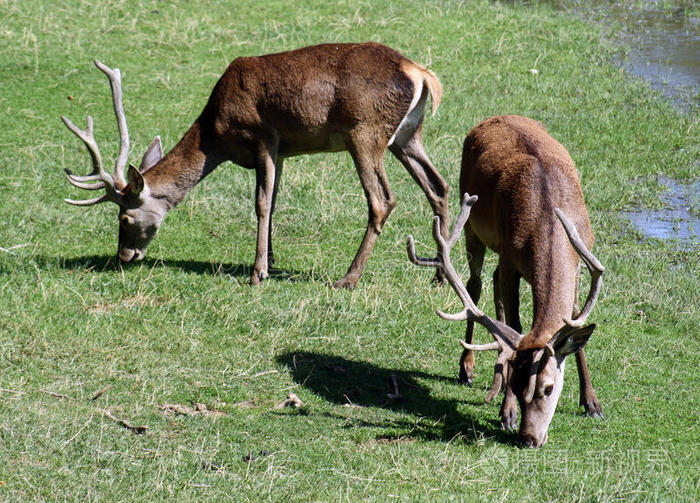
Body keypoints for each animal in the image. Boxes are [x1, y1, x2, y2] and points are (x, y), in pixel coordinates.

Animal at [57, 43, 446, 288]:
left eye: (124, 218)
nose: (124, 256)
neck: (216, 133)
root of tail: (421, 73)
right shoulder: (283, 150)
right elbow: (273, 201)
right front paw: (269, 260)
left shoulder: (262, 136)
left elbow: (260, 204)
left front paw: (258, 273)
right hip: (406, 135)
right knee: (438, 186)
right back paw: (440, 274)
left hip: (364, 132)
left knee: (382, 200)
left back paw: (348, 278)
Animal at [408, 116, 604, 446]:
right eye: (517, 382)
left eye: (549, 388)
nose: (528, 438)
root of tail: (493, 118)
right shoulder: (511, 258)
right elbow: (515, 324)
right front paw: (507, 412)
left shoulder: (581, 260)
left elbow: (575, 320)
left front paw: (592, 402)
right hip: (474, 227)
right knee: (476, 285)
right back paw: (467, 368)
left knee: (493, 283)